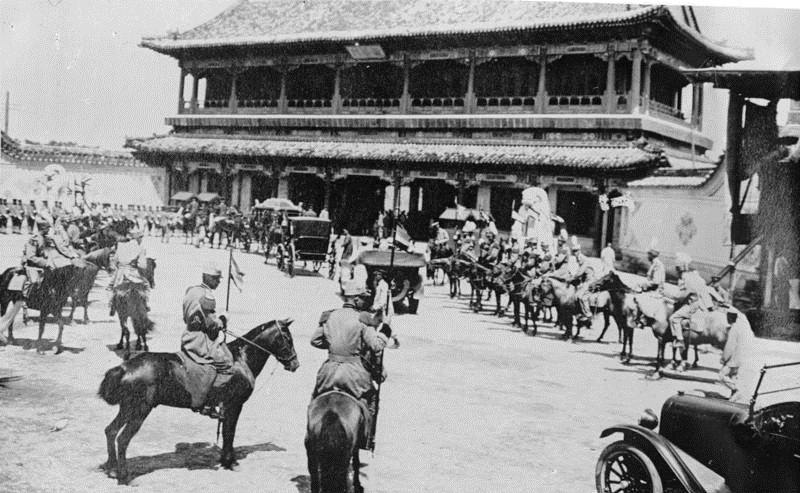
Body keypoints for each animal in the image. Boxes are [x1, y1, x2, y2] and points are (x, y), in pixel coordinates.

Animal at [99, 320, 300, 484]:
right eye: (288, 339)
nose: (295, 364)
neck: (240, 358)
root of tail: (124, 368)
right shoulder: (234, 405)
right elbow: (230, 433)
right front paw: (231, 461)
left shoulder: (227, 407)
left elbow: (226, 433)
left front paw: (225, 460)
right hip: (139, 410)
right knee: (122, 439)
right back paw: (124, 477)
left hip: (127, 409)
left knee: (110, 431)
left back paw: (112, 469)